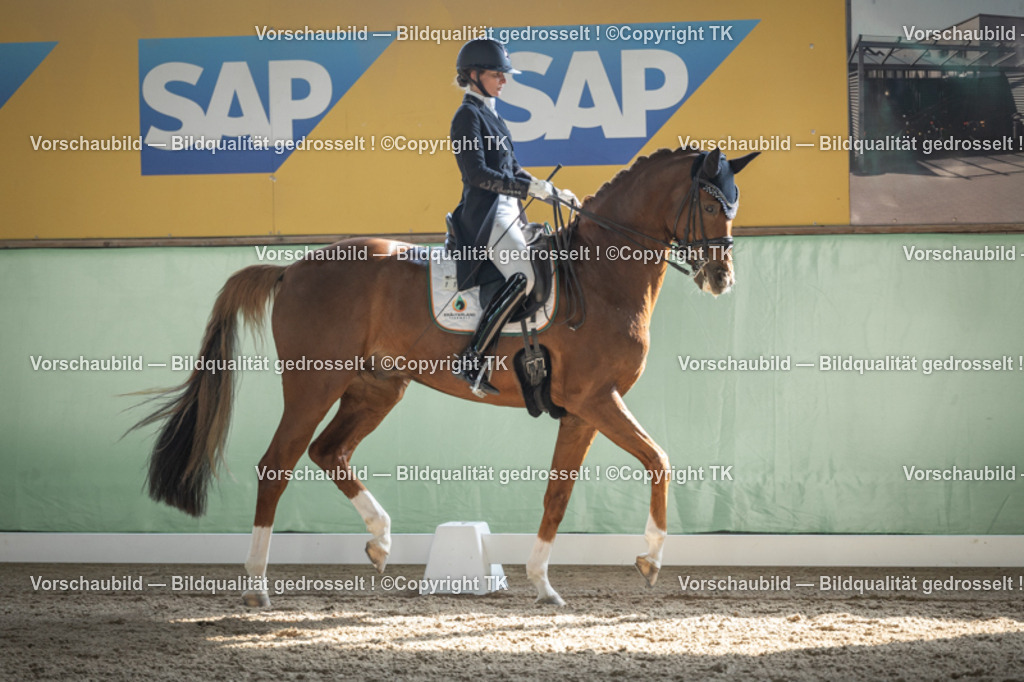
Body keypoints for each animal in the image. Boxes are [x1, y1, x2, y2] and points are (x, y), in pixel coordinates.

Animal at [134, 146, 758, 607]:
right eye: (710, 204)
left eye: (733, 203)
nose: (722, 277)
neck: (602, 276)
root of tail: (292, 269)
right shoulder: (597, 398)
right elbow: (659, 459)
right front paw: (650, 557)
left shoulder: (581, 410)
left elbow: (558, 493)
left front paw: (542, 584)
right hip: (314, 384)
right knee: (276, 466)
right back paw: (258, 586)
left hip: (377, 387)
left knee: (329, 451)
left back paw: (381, 540)